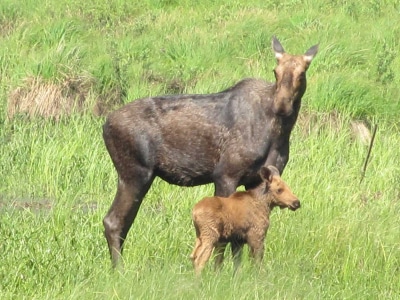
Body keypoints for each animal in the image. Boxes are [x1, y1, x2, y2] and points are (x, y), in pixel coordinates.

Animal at [103, 36, 318, 266]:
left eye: (302, 73)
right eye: (275, 71)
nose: (282, 105)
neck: (279, 130)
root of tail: (105, 125)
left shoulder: (257, 180)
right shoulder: (225, 175)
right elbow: (226, 237)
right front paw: (217, 271)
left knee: (123, 222)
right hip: (135, 173)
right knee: (113, 221)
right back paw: (119, 269)